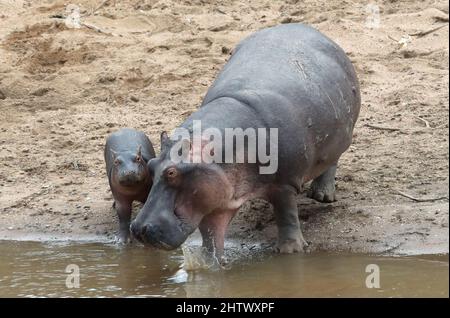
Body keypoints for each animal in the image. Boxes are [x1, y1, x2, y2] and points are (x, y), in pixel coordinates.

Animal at [129, 24, 358, 258]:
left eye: (172, 173)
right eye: (150, 165)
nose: (138, 229)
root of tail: (309, 28)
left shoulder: (285, 183)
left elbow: (286, 214)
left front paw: (291, 250)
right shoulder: (214, 195)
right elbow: (212, 234)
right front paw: (210, 260)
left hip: (340, 138)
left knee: (331, 162)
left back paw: (322, 195)